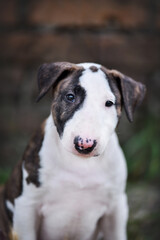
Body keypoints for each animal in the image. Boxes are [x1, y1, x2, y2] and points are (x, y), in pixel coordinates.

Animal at [0, 62, 146, 240]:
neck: (80, 165)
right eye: (70, 97)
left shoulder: (116, 208)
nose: (85, 144)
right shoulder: (26, 206)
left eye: (109, 103)